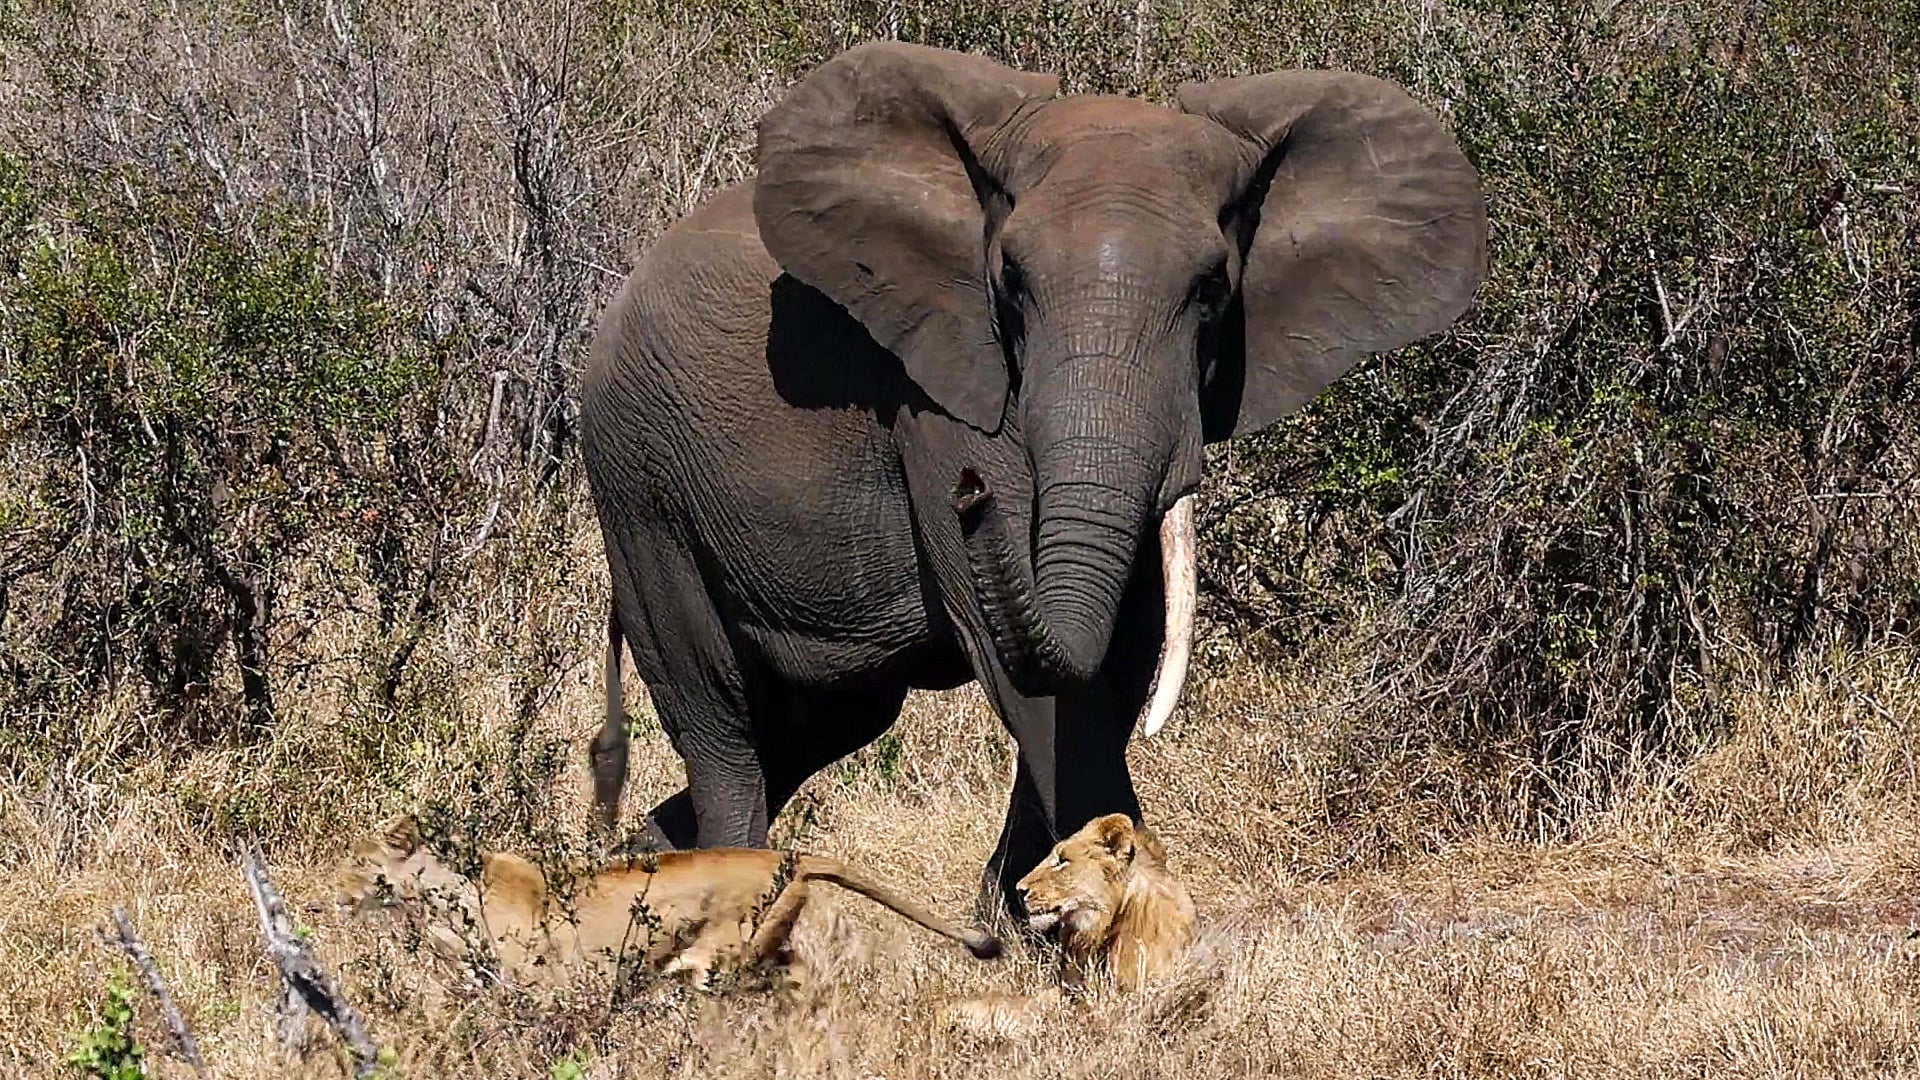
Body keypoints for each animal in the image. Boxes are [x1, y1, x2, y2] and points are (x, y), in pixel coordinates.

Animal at [334, 815, 1002, 989]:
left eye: (359, 865)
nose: (330, 897)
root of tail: (786, 855)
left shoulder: (546, 990)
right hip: (768, 949)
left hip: (717, 956)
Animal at [578, 40, 1486, 914]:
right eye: (1010, 284)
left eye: (1211, 290)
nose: (969, 494)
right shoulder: (937, 397)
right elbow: (1038, 684)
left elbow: (1119, 655)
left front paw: (1018, 919)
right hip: (640, 490)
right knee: (721, 725)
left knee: (815, 723)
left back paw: (630, 875)